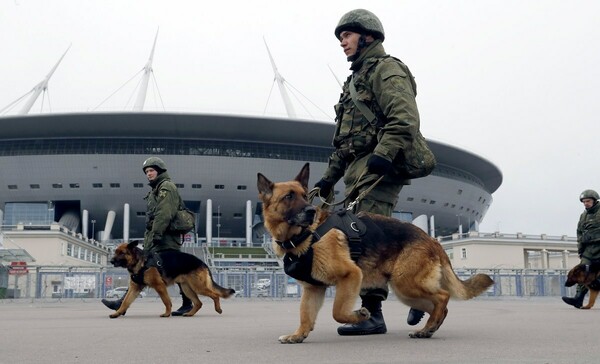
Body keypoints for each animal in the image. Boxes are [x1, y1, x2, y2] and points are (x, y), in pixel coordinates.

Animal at [258, 164, 492, 342]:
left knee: (442, 297)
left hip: (405, 284)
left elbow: (338, 312)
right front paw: (298, 335)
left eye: (305, 196)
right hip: (406, 292)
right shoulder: (313, 290)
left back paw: (428, 326)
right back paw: (427, 328)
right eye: (288, 196)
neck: (305, 235)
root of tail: (433, 240)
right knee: (437, 305)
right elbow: (305, 316)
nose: (310, 211)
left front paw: (359, 316)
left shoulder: (351, 276)